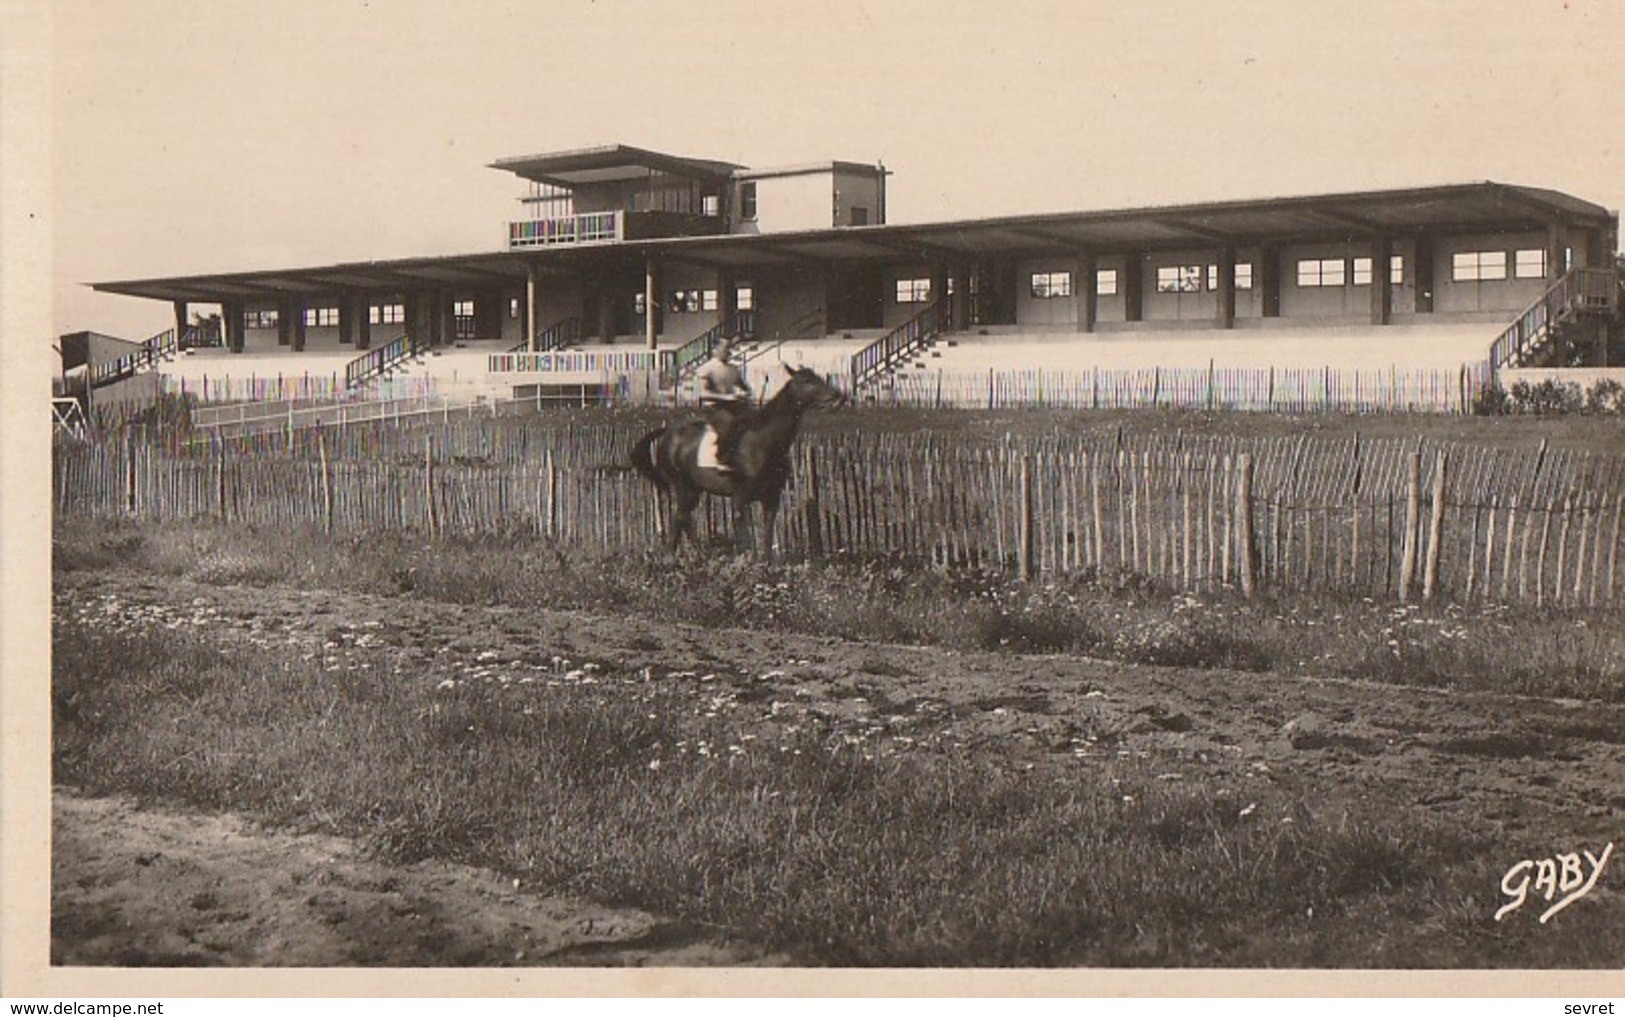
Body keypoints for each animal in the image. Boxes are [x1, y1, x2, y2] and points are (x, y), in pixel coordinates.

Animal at [627, 363, 845, 555]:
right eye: (806, 380)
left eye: (818, 377)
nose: (838, 396)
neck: (763, 442)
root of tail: (668, 433)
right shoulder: (740, 499)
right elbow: (745, 539)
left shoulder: (771, 499)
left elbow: (766, 540)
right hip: (683, 487)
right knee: (681, 517)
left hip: (693, 489)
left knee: (681, 519)